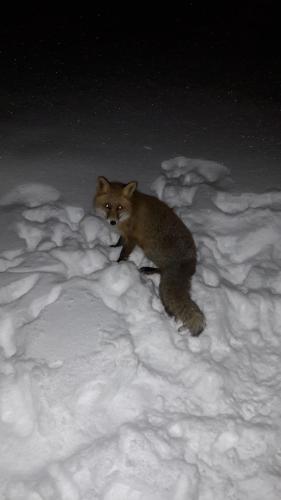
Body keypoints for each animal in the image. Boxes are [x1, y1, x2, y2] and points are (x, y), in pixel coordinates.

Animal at [94, 176, 206, 336]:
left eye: (119, 207)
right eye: (107, 205)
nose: (112, 222)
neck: (131, 211)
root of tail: (191, 263)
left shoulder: (132, 239)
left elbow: (123, 254)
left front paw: (117, 265)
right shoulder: (124, 235)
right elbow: (119, 243)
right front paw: (112, 247)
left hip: (152, 254)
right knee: (161, 271)